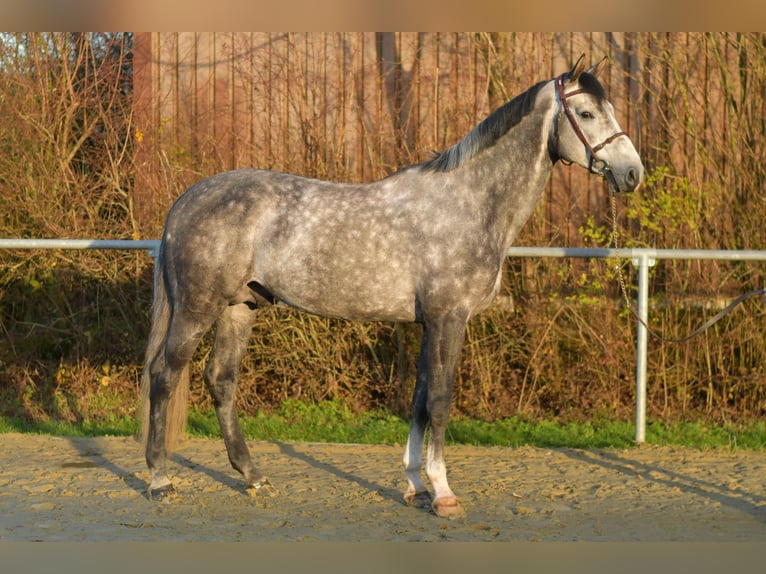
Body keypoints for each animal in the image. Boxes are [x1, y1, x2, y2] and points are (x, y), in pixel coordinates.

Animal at [140, 55, 643, 518]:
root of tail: (186, 200)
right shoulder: (449, 319)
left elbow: (418, 401)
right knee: (164, 375)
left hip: (239, 308)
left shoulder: (427, 324)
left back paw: (253, 475)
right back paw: (160, 479)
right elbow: (439, 400)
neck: (468, 203)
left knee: (220, 380)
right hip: (197, 309)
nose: (632, 173)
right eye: (585, 114)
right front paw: (443, 494)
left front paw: (415, 486)